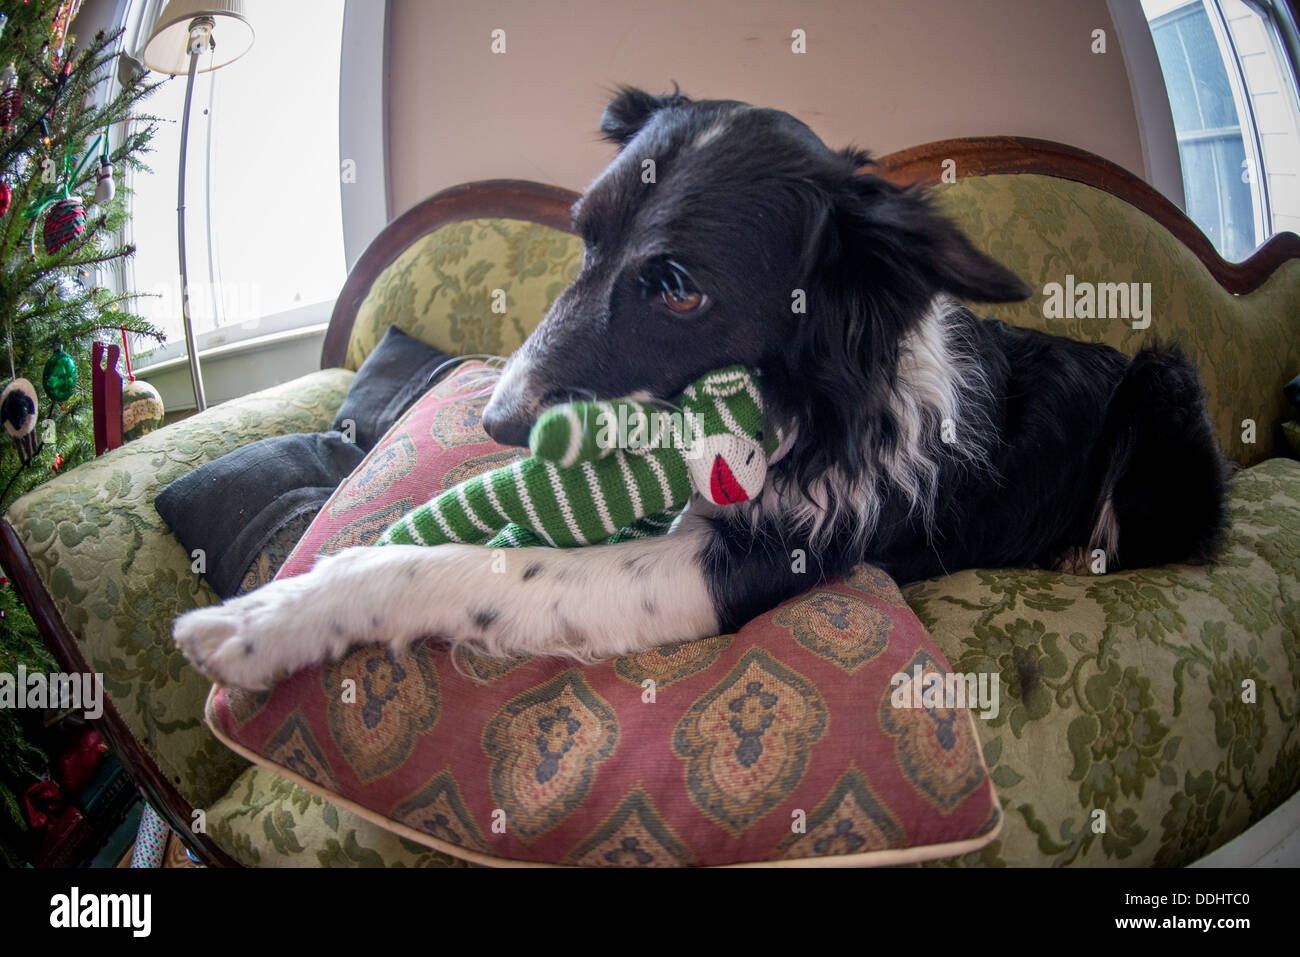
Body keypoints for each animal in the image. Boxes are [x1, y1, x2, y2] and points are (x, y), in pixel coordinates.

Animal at [175, 87, 1227, 686]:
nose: (498, 420)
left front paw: (271, 623)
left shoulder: (752, 561)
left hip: (1164, 379)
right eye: (582, 235)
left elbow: (485, 572)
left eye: (679, 286)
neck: (812, 403)